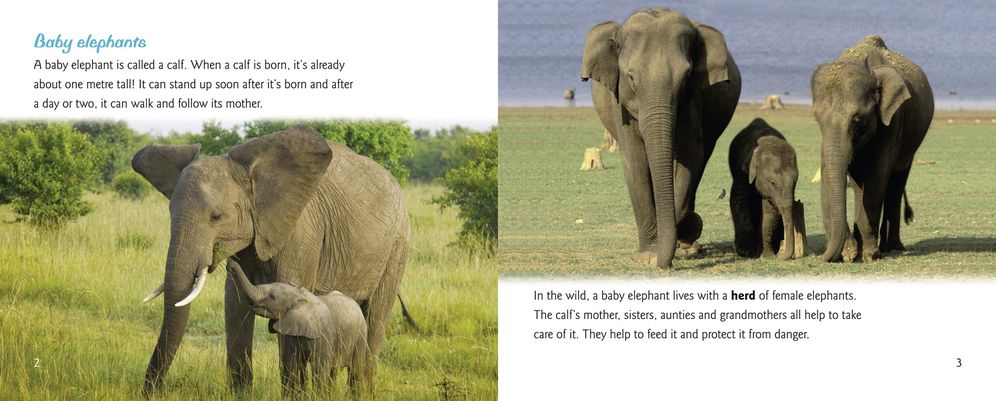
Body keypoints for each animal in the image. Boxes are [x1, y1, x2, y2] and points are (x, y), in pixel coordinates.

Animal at [228, 260, 369, 395]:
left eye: (272, 297)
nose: (230, 264)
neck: (299, 296)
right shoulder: (292, 330)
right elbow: (293, 364)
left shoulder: (324, 335)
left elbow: (319, 369)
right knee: (333, 371)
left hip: (361, 335)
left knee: (356, 369)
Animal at [581, 8, 741, 268]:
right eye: (631, 77)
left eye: (686, 77)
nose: (661, 260)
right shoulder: (620, 107)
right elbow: (634, 161)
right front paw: (647, 257)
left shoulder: (692, 100)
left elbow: (690, 155)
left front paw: (686, 232)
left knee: (701, 160)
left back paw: (688, 246)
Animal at [728, 118, 799, 260]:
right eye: (773, 182)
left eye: (795, 183)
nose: (780, 256)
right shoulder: (742, 171)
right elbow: (738, 200)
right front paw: (746, 252)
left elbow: (770, 212)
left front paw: (766, 256)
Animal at [811, 34, 932, 262]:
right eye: (816, 118)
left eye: (858, 118)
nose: (823, 256)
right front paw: (851, 253)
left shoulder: (893, 120)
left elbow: (877, 176)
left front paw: (869, 255)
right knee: (861, 185)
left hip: (909, 148)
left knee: (895, 184)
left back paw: (891, 247)